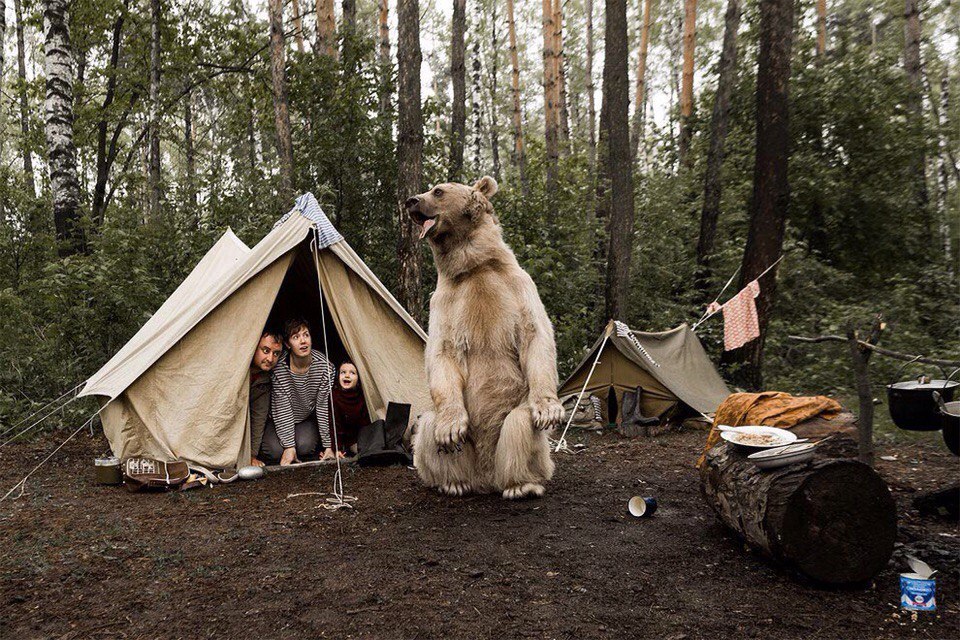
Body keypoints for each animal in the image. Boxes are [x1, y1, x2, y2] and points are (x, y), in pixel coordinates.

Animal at [405, 176, 565, 499]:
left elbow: (535, 335)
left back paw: (522, 484)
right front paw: (450, 430)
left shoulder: (517, 285)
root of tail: (486, 479)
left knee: (518, 425)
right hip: (456, 445)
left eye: (437, 191)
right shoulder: (445, 301)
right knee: (427, 425)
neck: (475, 266)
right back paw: (454, 482)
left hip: (521, 436)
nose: (411, 201)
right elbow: (442, 352)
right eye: (429, 189)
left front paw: (549, 409)